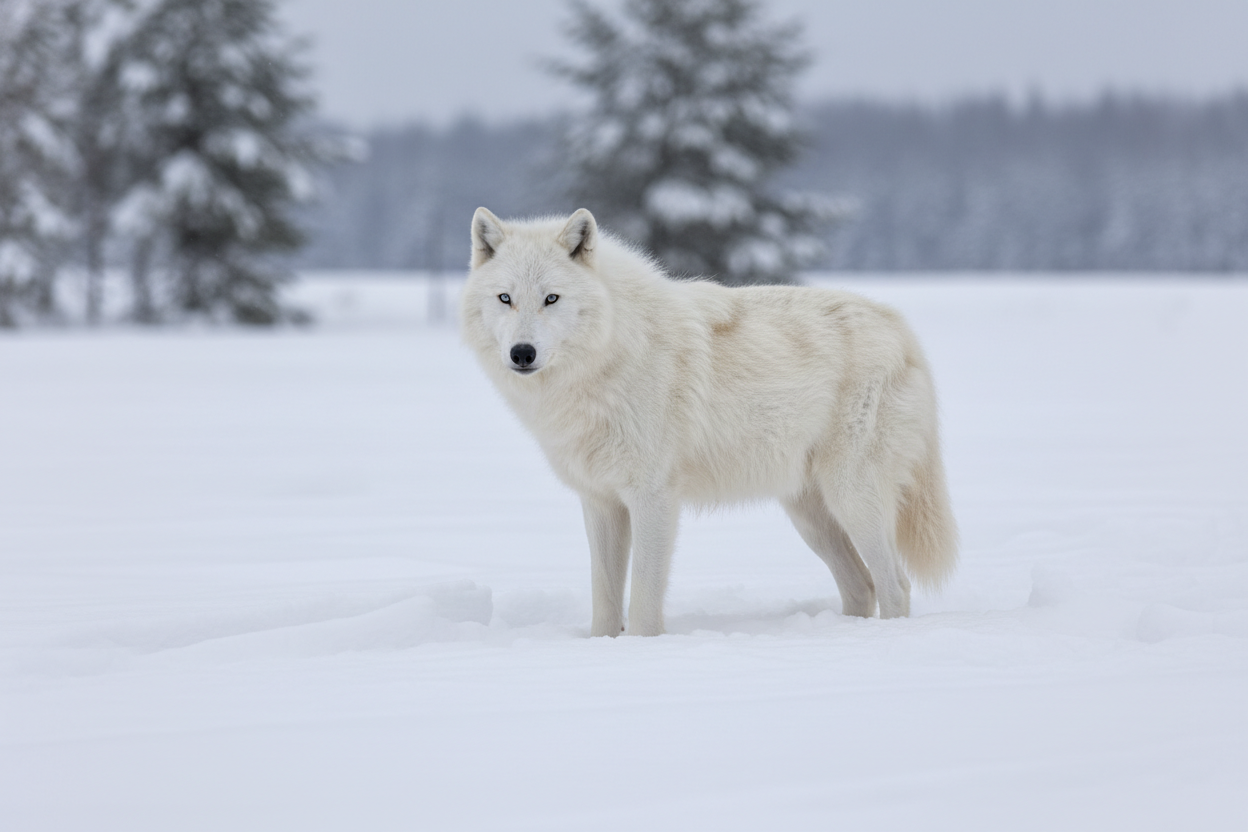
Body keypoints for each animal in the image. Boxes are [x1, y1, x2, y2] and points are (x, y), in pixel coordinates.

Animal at [461, 207, 958, 636]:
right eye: (505, 298)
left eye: (551, 298)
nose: (522, 353)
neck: (609, 359)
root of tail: (898, 326)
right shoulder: (600, 502)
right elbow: (604, 601)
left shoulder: (654, 499)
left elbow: (643, 601)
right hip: (811, 515)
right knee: (862, 586)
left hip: (852, 499)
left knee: (896, 585)